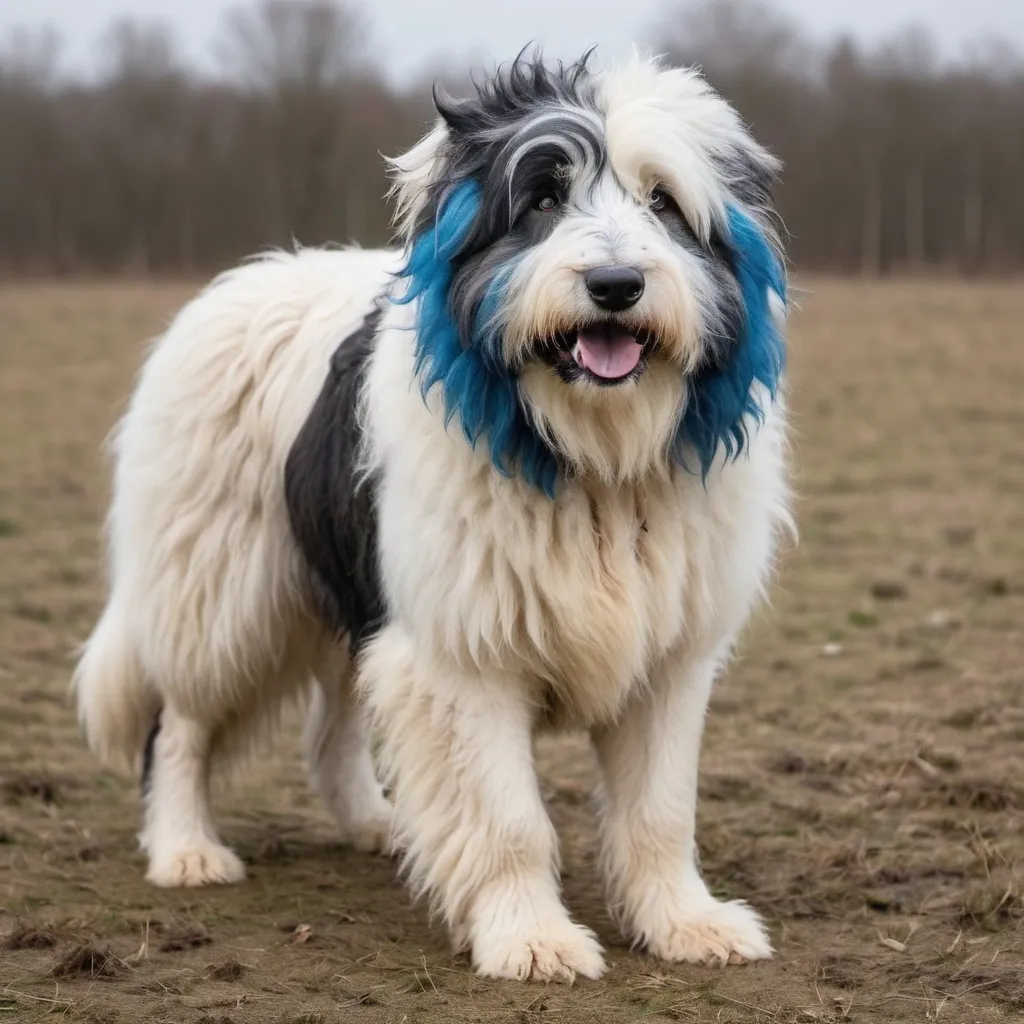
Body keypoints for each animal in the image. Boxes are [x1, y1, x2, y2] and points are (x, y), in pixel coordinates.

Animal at [74, 49, 790, 983]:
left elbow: (662, 812)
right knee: (179, 727)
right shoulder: (465, 652)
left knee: (334, 726)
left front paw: (685, 922)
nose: (616, 284)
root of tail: (241, 279)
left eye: (664, 201)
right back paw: (185, 850)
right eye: (544, 197)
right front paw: (531, 936)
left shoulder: (669, 658)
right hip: (218, 590)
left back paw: (377, 823)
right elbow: (509, 818)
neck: (588, 457)